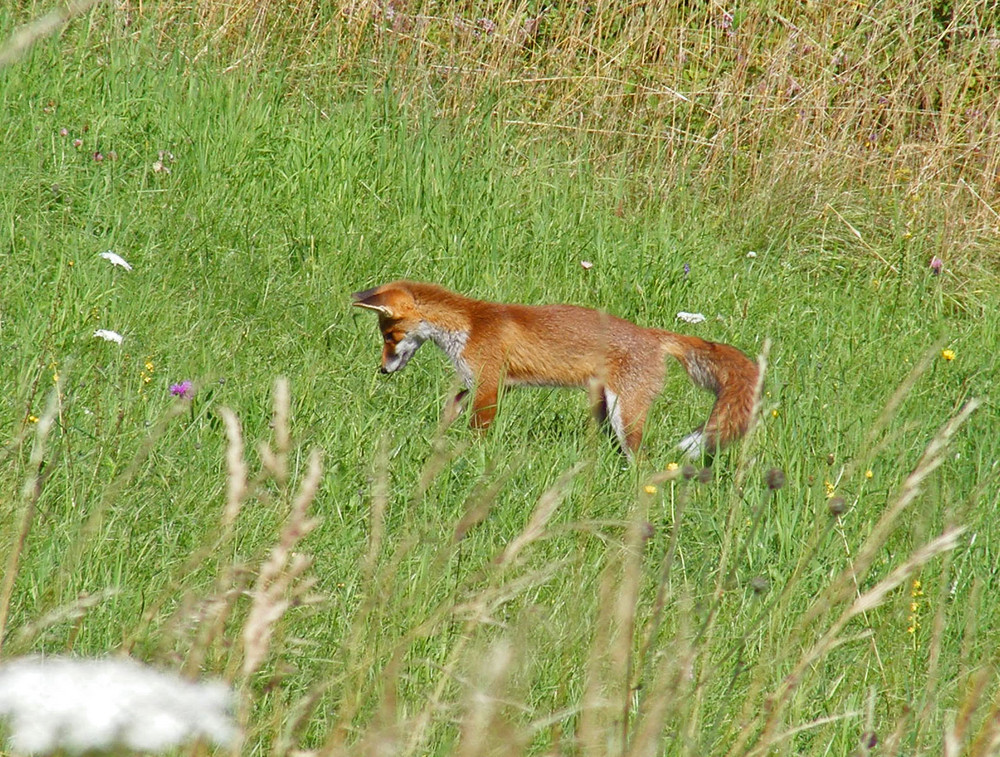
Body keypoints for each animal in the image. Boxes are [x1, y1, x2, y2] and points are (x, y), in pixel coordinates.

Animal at [352, 278, 756, 454]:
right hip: (604, 408)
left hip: (625, 415)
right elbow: (450, 411)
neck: (469, 325)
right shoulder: (480, 383)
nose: (383, 370)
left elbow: (477, 432)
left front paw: (469, 459)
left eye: (389, 335)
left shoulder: (489, 386)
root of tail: (654, 333)